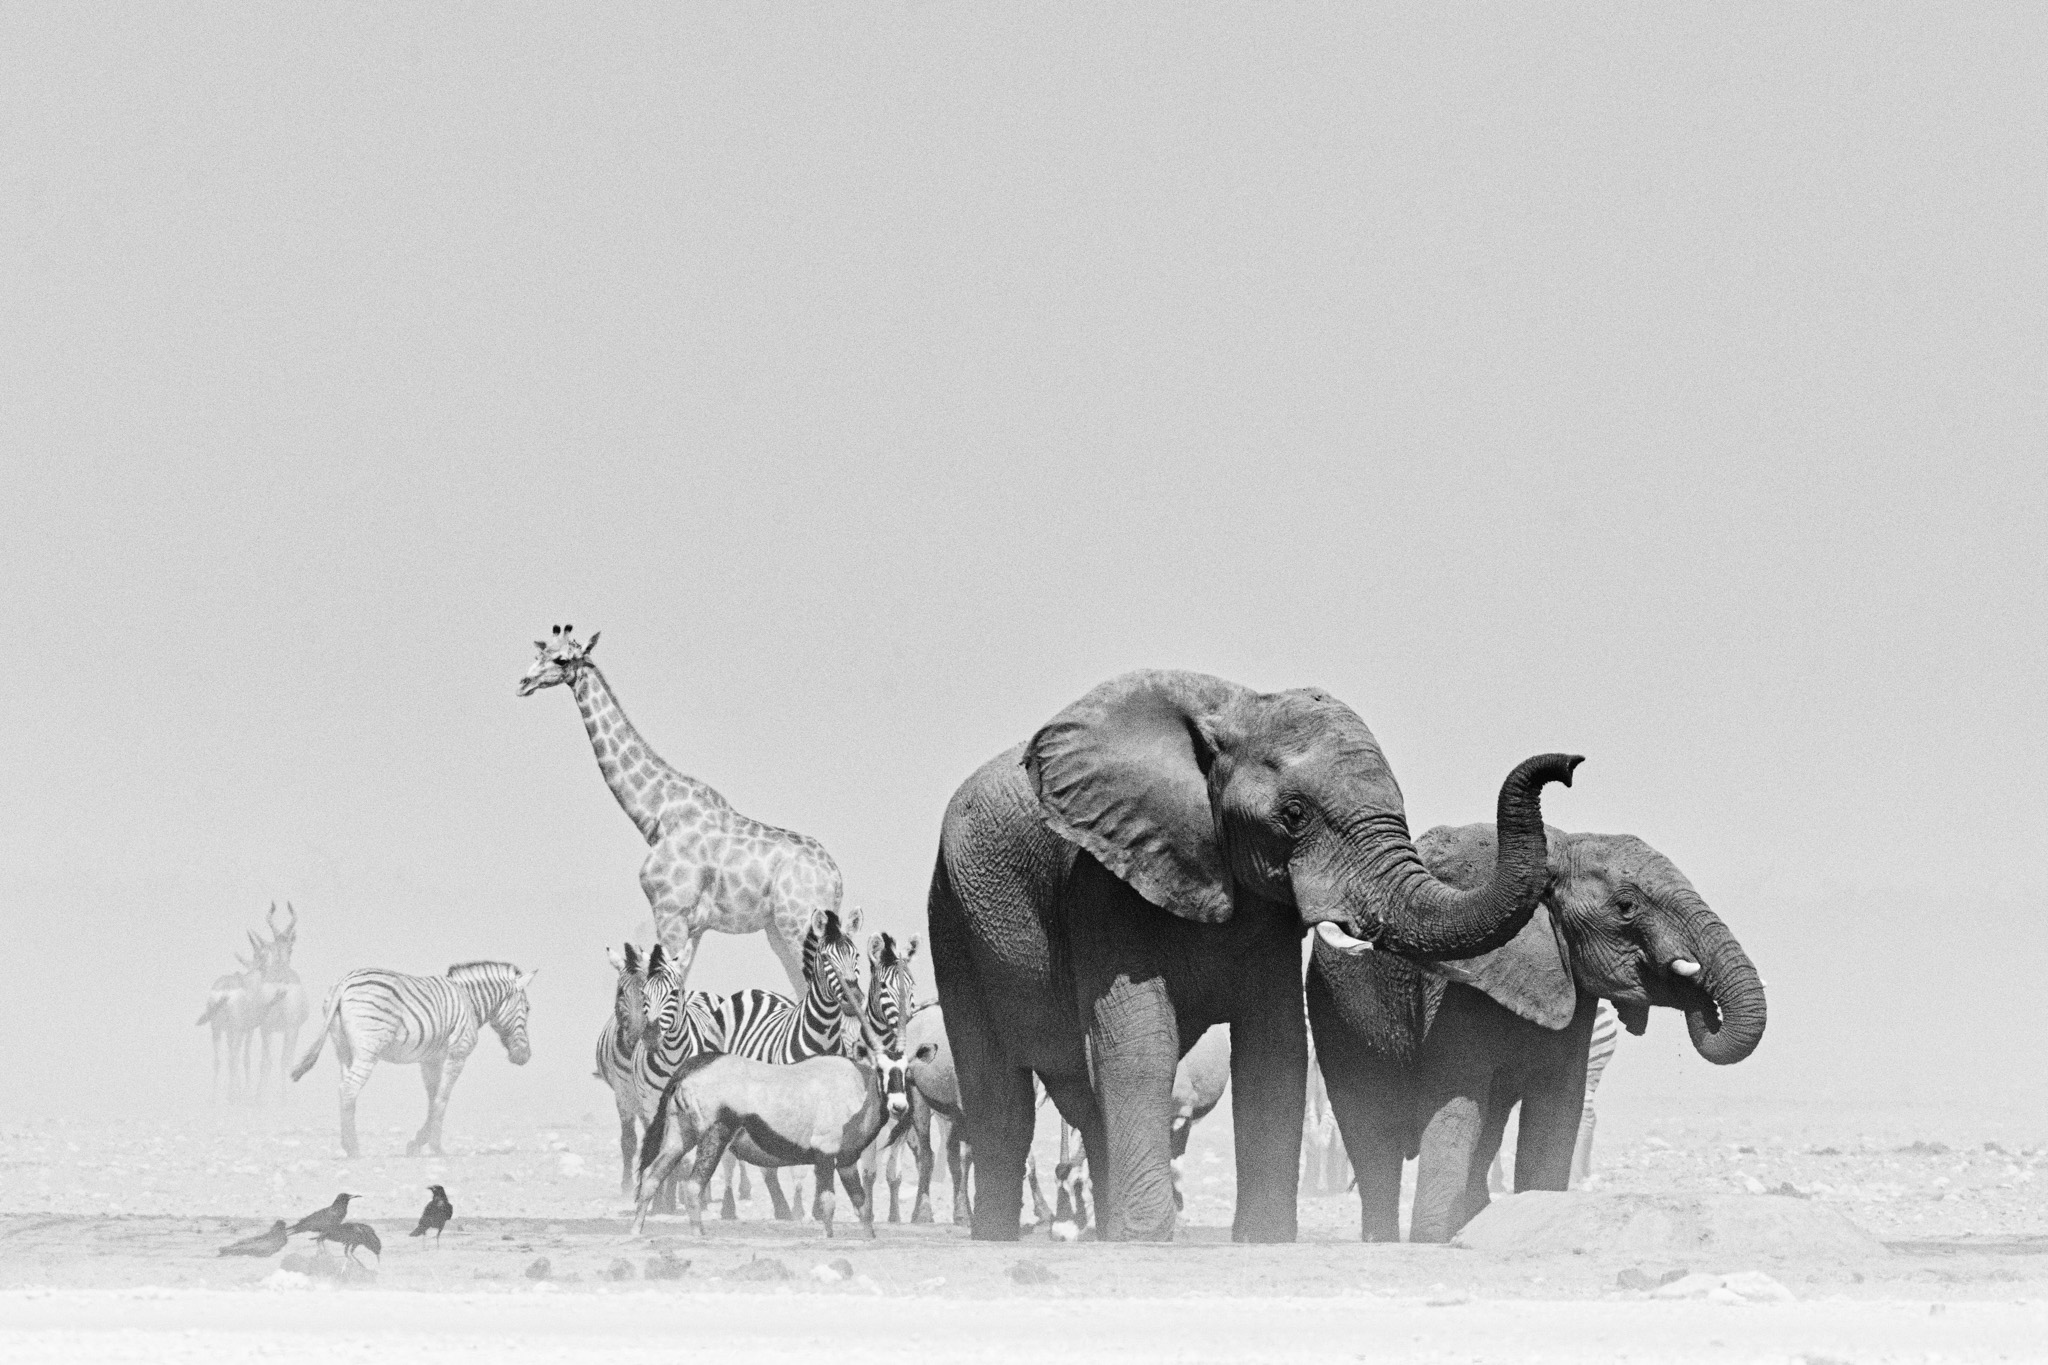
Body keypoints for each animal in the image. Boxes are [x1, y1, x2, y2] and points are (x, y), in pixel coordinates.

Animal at [518, 625, 842, 997]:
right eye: (539, 653)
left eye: (561, 659)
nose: (523, 683)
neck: (655, 812)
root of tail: (836, 877)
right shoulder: (694, 925)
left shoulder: (670, 912)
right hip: (778, 929)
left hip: (799, 922)